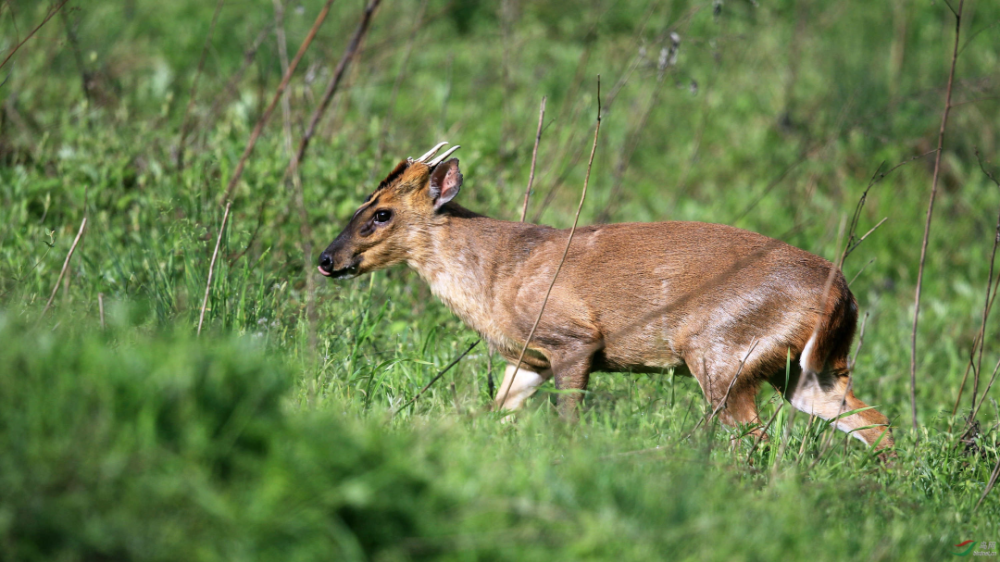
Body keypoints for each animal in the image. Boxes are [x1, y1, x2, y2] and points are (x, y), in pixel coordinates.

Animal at [318, 142, 892, 452]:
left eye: (381, 213)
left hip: (722, 351)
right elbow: (494, 412)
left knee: (757, 439)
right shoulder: (527, 358)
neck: (497, 276)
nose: (327, 259)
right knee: (872, 421)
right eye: (363, 204)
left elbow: (567, 421)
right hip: (805, 367)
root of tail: (843, 292)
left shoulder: (573, 338)